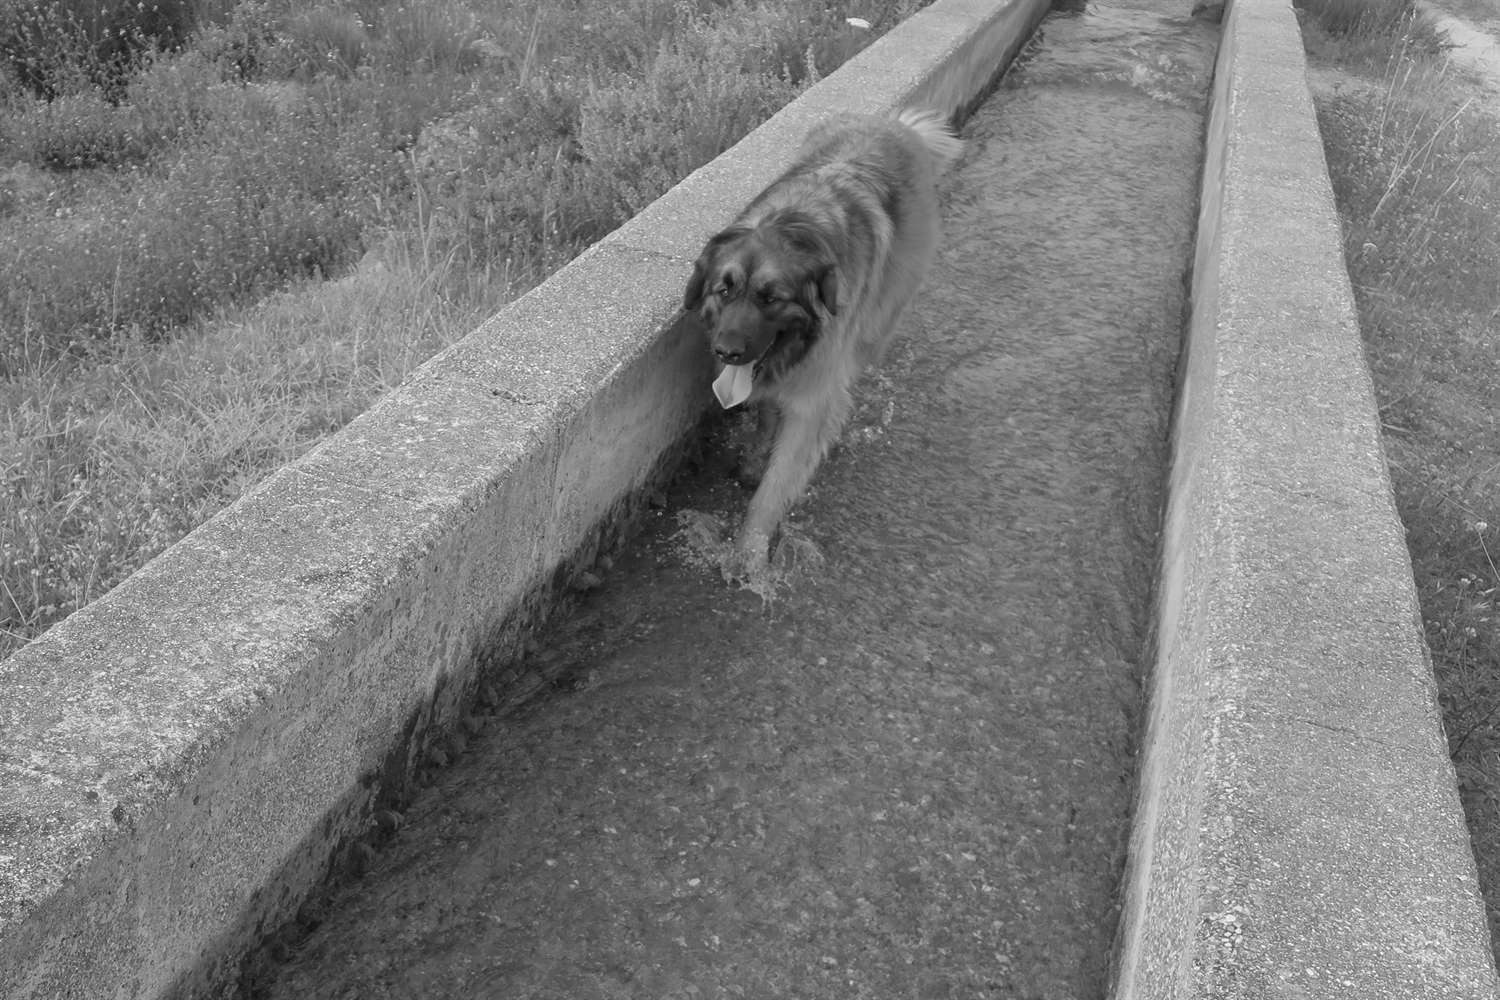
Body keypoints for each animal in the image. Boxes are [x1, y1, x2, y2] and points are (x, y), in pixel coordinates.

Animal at [687, 108, 966, 569]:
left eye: (770, 298)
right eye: (723, 290)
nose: (726, 351)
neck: (791, 223)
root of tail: (898, 125)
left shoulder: (811, 402)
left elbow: (773, 490)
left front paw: (750, 554)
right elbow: (766, 414)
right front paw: (755, 459)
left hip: (880, 321)